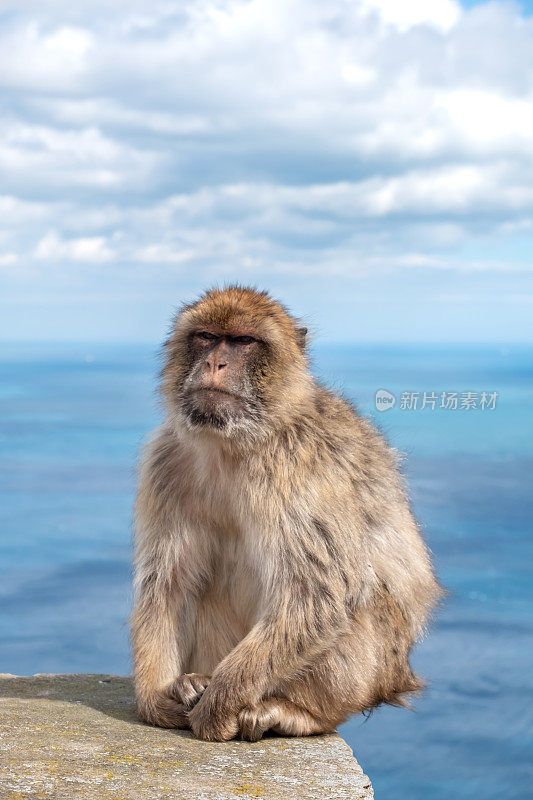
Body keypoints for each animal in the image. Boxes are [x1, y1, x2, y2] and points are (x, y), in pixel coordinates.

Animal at [130, 284, 440, 740]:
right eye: (206, 337)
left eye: (243, 341)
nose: (215, 363)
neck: (236, 444)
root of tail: (397, 678)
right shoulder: (165, 463)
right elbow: (168, 584)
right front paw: (156, 697)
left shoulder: (299, 464)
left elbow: (319, 592)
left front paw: (218, 703)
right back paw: (195, 681)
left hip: (373, 670)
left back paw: (299, 712)